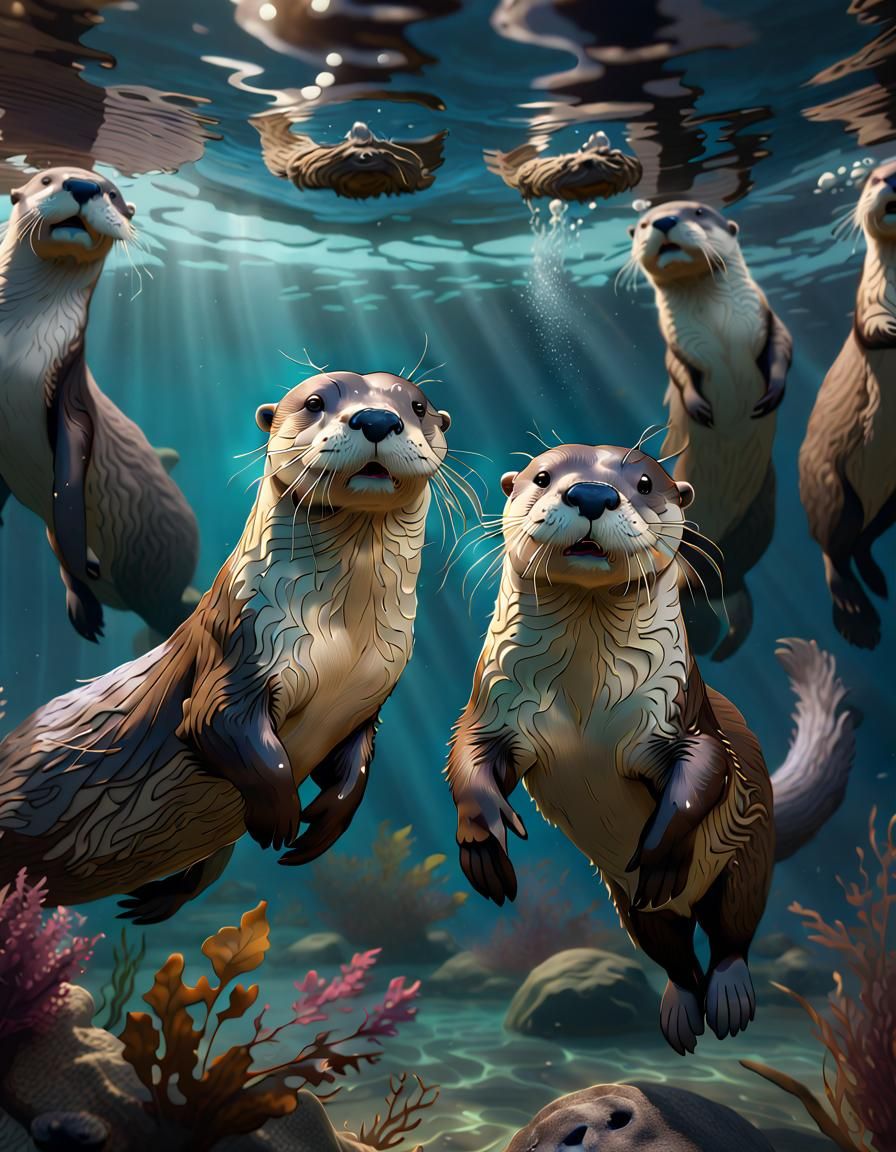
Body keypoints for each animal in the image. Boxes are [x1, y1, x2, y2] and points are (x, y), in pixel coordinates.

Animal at [0, 167, 199, 643]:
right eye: (45, 179)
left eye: (113, 193)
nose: (83, 186)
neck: (16, 353)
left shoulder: (71, 403)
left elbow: (69, 493)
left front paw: (84, 557)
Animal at [0, 371, 451, 923]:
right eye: (315, 401)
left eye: (418, 406)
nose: (377, 419)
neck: (344, 644)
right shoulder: (238, 650)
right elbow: (221, 725)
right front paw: (281, 817)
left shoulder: (371, 698)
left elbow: (357, 761)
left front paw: (322, 825)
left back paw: (153, 901)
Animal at [446, 443, 854, 1054]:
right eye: (542, 477)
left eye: (643, 483)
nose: (592, 493)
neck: (584, 699)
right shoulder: (494, 704)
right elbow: (468, 758)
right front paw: (486, 840)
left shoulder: (681, 714)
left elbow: (705, 769)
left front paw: (662, 852)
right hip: (628, 906)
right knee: (673, 953)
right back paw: (682, 1012)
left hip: (747, 857)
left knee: (733, 931)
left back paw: (729, 996)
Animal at [629, 201, 792, 660]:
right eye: (642, 223)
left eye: (699, 211)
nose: (664, 220)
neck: (719, 330)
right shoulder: (676, 349)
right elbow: (681, 374)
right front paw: (699, 408)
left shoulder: (768, 321)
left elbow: (783, 350)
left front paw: (771, 394)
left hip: (756, 520)